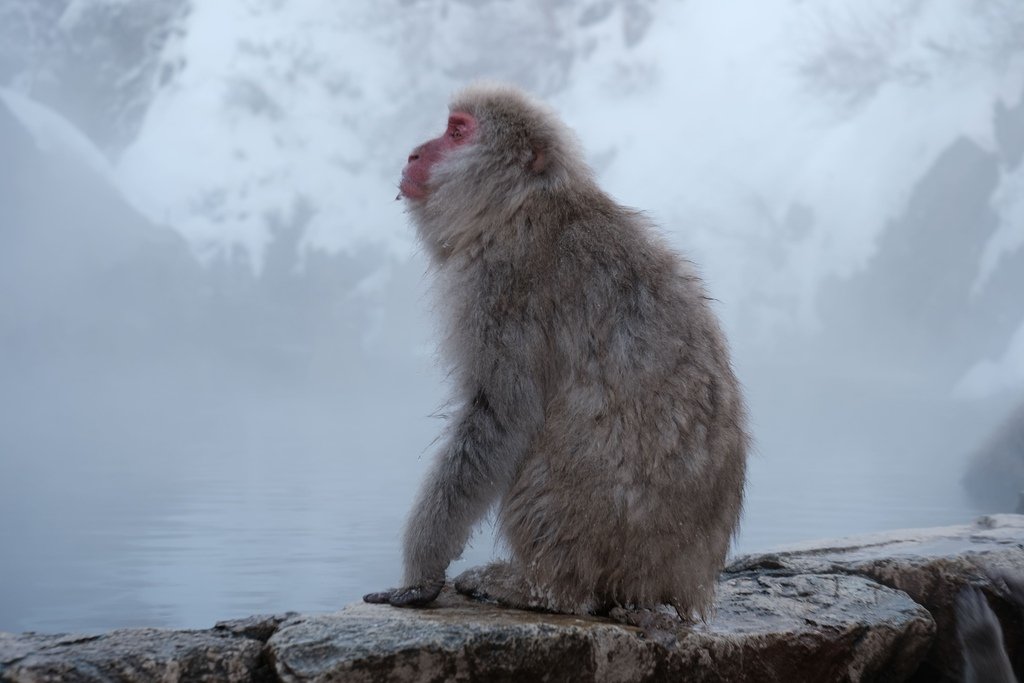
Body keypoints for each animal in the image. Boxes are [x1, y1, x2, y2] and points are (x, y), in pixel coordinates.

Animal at [364, 81, 749, 618]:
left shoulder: (503, 287)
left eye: (457, 132)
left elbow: (502, 415)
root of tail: (681, 581)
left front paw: (421, 571)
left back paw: (542, 589)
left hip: (604, 530)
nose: (414, 153)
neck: (516, 205)